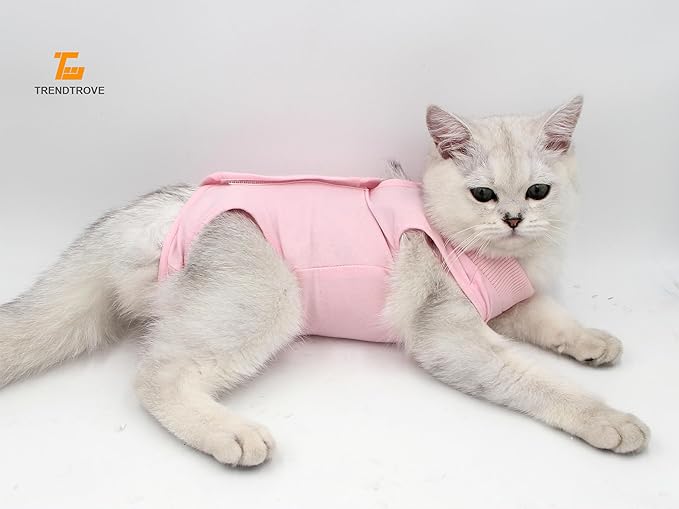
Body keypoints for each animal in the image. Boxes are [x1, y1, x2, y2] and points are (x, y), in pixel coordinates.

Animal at [0, 96, 649, 466]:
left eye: (538, 191)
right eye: (483, 194)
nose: (513, 219)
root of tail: (162, 208)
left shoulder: (507, 306)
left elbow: (552, 318)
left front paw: (593, 342)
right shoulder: (449, 334)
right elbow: (538, 382)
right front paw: (609, 420)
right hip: (271, 295)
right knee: (157, 375)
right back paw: (231, 435)